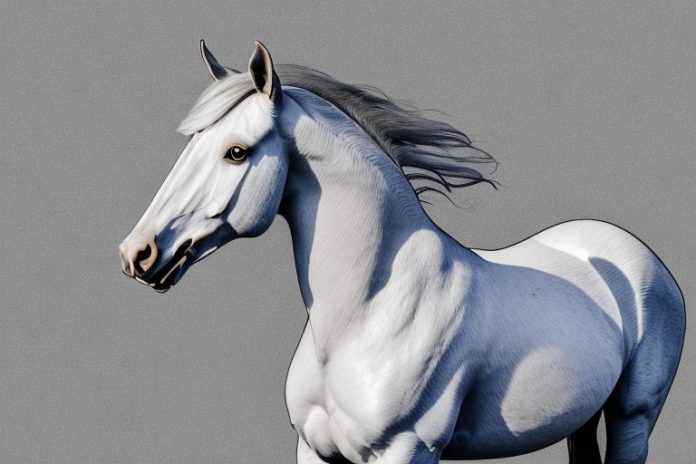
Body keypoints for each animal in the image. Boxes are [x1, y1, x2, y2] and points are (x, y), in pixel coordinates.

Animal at [118, 41, 685, 464]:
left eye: (236, 152)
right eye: (190, 145)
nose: (137, 253)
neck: (366, 314)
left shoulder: (406, 451)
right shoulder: (314, 451)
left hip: (633, 418)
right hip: (581, 421)